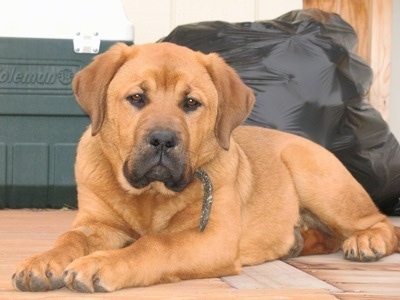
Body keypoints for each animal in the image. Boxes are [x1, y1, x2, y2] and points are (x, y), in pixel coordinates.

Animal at [12, 42, 400, 292]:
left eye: (191, 103)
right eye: (137, 98)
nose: (163, 139)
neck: (150, 196)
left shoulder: (212, 236)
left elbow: (156, 245)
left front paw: (102, 263)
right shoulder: (98, 225)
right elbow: (71, 237)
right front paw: (42, 261)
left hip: (319, 181)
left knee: (380, 223)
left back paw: (366, 242)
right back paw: (296, 241)